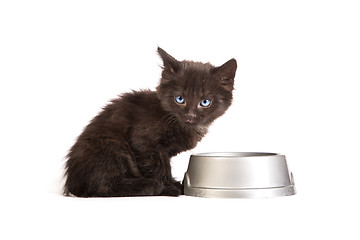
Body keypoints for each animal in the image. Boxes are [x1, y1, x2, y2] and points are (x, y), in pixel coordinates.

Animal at [63, 47, 238, 197]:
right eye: (180, 99)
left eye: (205, 102)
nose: (190, 115)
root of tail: (72, 183)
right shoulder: (144, 142)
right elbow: (157, 167)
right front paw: (169, 188)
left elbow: (164, 165)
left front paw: (174, 184)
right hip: (113, 146)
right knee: (102, 187)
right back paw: (149, 186)